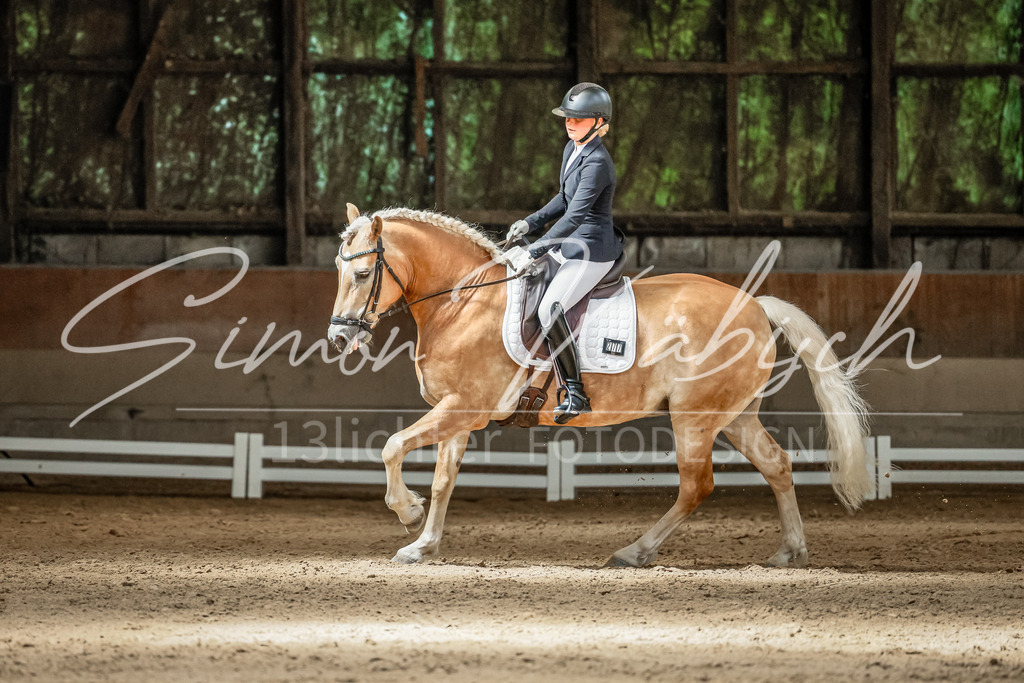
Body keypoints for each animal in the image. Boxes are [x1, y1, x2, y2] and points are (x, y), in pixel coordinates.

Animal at [328, 203, 871, 567]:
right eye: (338, 268)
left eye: (363, 273)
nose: (339, 337)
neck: (462, 302)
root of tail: (756, 304)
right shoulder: (456, 412)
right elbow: (444, 480)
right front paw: (423, 544)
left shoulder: (463, 407)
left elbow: (392, 446)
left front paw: (407, 512)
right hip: (734, 415)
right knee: (777, 465)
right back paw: (790, 551)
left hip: (695, 418)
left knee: (697, 486)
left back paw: (634, 552)